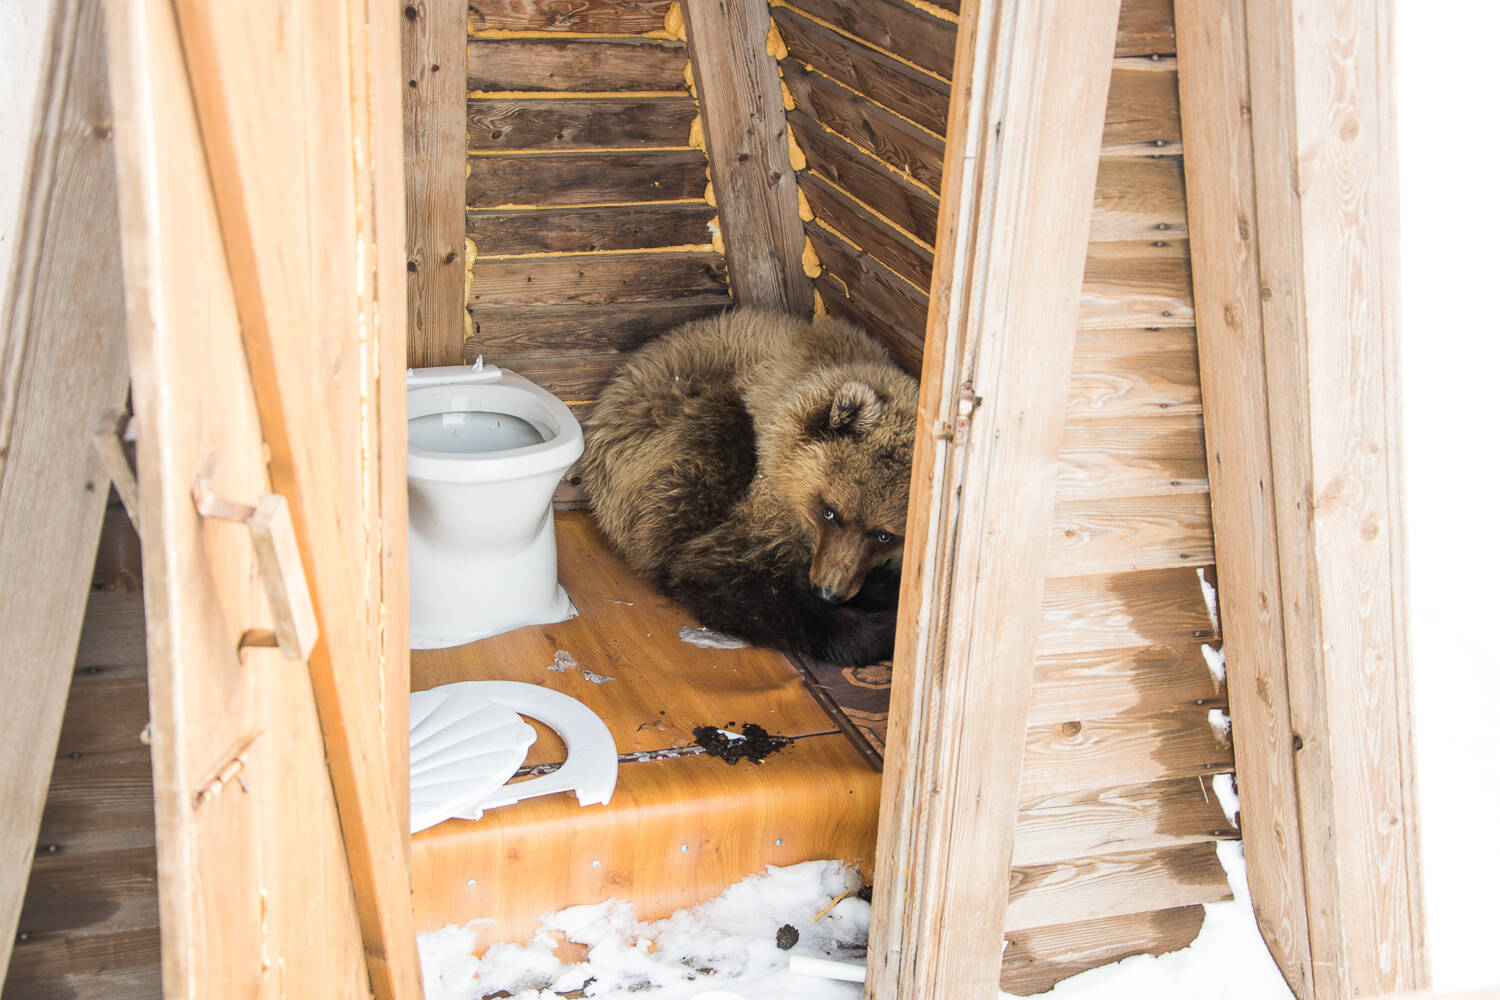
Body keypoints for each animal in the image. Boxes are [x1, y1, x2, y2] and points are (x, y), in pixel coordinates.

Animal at [579, 305, 918, 665]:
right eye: (829, 511)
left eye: (884, 535)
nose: (829, 591)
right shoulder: (768, 499)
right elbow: (720, 570)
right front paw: (882, 626)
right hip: (658, 431)